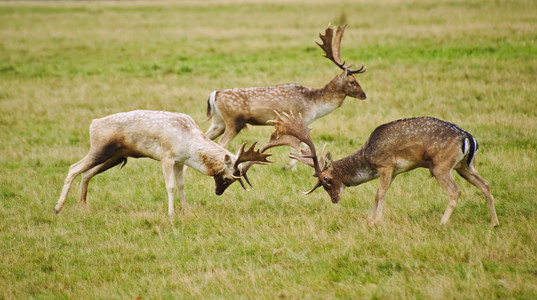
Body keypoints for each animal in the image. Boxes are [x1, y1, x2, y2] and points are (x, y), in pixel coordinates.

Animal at [54, 110, 270, 216]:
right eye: (227, 178)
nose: (218, 192)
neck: (187, 140)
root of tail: (94, 123)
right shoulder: (166, 157)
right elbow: (170, 186)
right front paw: (171, 213)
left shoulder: (180, 162)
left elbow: (182, 185)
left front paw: (186, 209)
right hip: (100, 149)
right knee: (73, 168)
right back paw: (57, 208)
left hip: (115, 157)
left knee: (86, 173)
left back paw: (83, 205)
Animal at [203, 23, 366, 149]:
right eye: (352, 81)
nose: (364, 95)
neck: (314, 104)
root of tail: (215, 94)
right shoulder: (300, 119)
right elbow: (302, 146)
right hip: (235, 121)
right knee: (222, 143)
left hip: (218, 121)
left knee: (205, 137)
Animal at [266, 110, 500, 227]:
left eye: (326, 179)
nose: (334, 200)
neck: (368, 157)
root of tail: (468, 138)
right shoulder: (394, 172)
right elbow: (380, 194)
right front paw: (370, 219)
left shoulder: (387, 164)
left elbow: (379, 194)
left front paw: (375, 221)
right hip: (465, 165)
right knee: (486, 184)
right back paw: (494, 223)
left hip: (440, 165)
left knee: (456, 191)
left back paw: (442, 223)